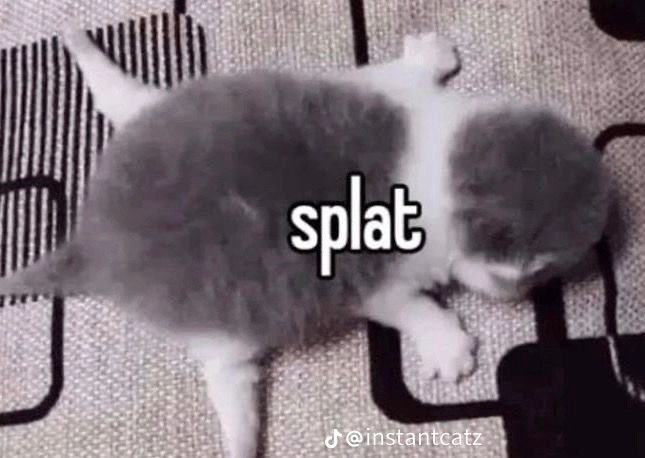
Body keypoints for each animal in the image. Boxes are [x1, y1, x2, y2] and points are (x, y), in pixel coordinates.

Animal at [0, 31, 610, 458]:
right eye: (552, 271)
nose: (609, 221)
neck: (437, 178)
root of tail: (95, 238)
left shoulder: (385, 95)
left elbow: (400, 73)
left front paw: (429, 56)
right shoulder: (368, 273)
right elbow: (408, 307)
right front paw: (447, 346)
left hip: (168, 121)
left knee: (126, 101)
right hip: (227, 328)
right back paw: (241, 446)